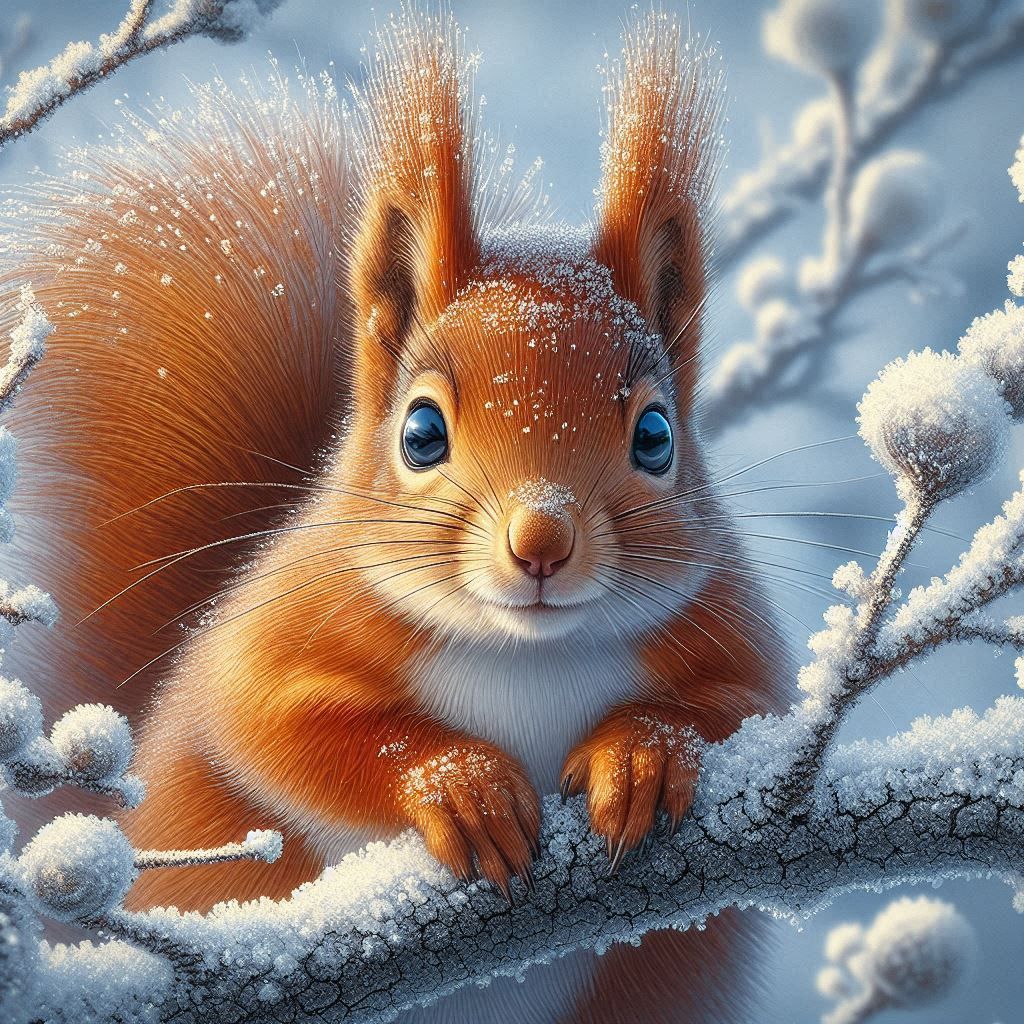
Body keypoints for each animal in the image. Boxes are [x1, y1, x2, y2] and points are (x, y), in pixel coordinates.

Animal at [2, 7, 789, 1022]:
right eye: (420, 433)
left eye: (655, 436)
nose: (542, 541)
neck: (526, 657)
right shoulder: (280, 629)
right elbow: (274, 728)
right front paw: (456, 786)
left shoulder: (730, 631)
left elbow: (741, 706)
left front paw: (642, 756)